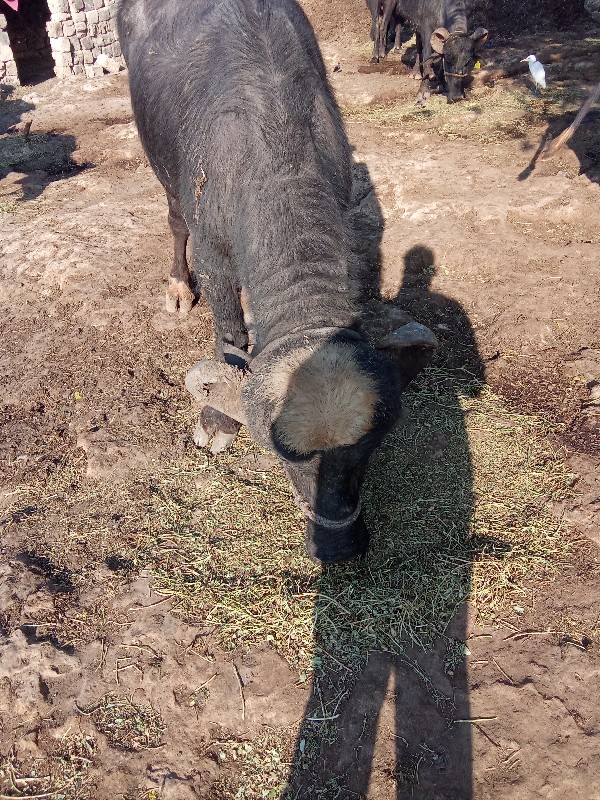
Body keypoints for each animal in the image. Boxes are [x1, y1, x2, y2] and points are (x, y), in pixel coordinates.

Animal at [117, 0, 438, 564]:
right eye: (287, 458)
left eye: (366, 452)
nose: (338, 544)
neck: (274, 148)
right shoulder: (214, 252)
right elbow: (227, 335)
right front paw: (217, 422)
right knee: (174, 218)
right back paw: (177, 288)